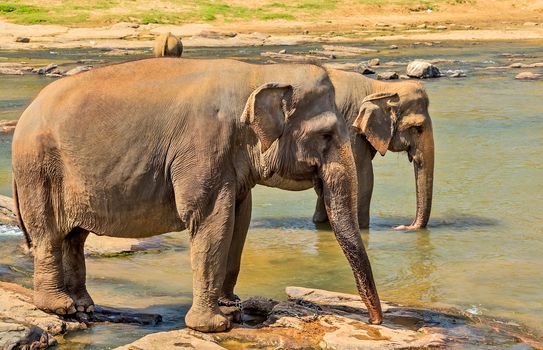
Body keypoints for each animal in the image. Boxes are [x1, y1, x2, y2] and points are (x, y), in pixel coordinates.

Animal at [12, 58, 384, 332]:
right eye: (326, 135)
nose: (374, 321)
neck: (259, 73)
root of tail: (26, 112)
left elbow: (240, 218)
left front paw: (231, 310)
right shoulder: (203, 147)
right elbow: (211, 220)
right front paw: (214, 325)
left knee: (75, 236)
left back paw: (84, 306)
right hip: (38, 168)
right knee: (48, 234)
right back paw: (60, 307)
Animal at [262, 68, 436, 231]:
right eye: (418, 128)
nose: (402, 226)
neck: (379, 87)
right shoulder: (348, 128)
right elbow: (363, 176)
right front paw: (361, 226)